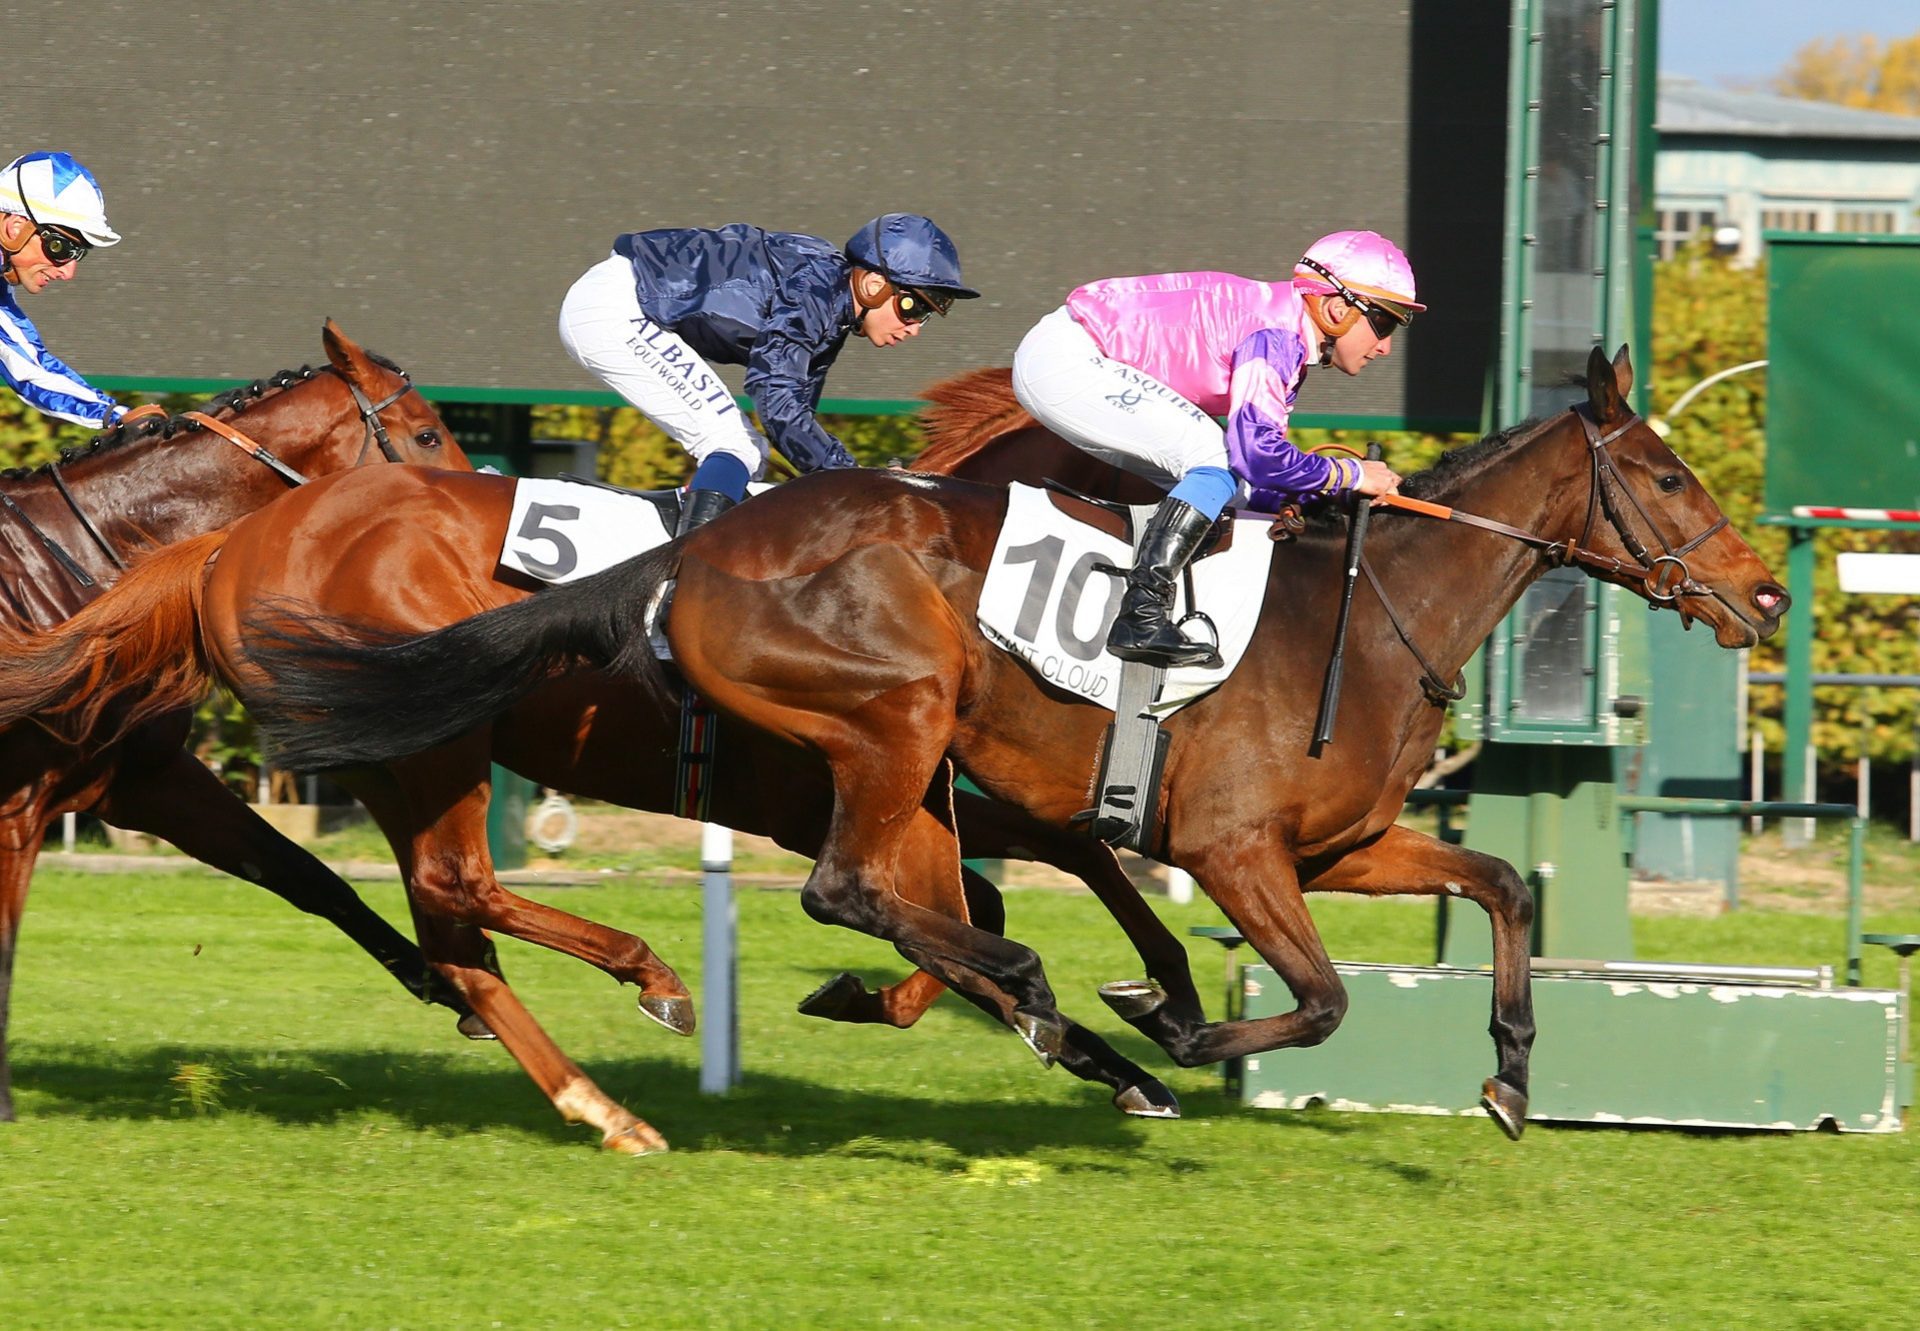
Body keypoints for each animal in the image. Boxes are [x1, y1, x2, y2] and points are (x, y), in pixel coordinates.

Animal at [0, 322, 478, 1121]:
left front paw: (455, 986)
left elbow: (305, 873)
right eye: (426, 434)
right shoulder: (20, 802)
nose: (471, 532)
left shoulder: (143, 777)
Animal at [224, 339, 1781, 1129]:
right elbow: (1319, 996)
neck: (1363, 612)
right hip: (887, 721)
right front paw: (1176, 1028)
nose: (1763, 591)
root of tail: (700, 553)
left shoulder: (1330, 846)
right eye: (1665, 473)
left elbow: (1504, 883)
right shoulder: (1225, 847)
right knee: (817, 889)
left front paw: (1512, 1070)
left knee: (470, 913)